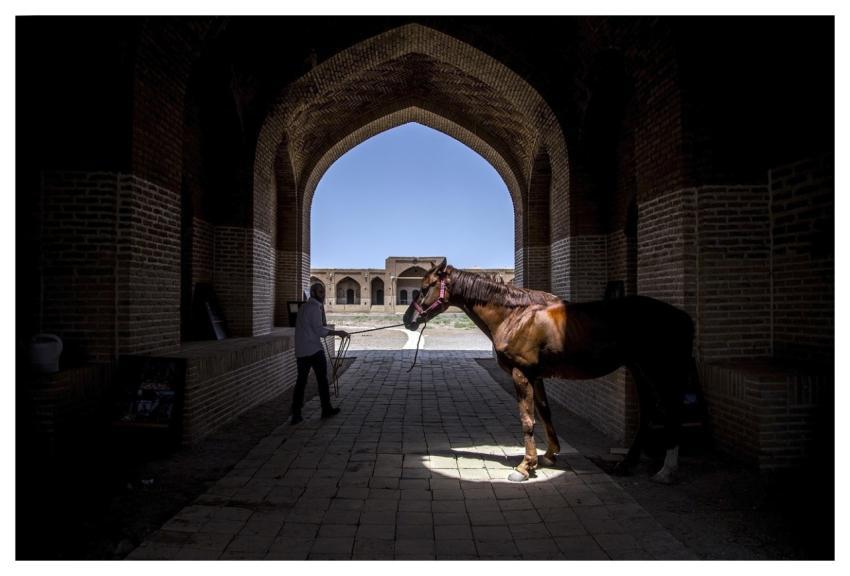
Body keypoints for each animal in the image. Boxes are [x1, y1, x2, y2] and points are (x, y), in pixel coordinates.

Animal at [402, 258, 696, 484]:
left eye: (425, 288)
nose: (408, 320)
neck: (516, 316)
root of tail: (681, 317)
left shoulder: (521, 374)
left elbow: (527, 419)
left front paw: (524, 467)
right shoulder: (536, 376)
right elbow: (544, 412)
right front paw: (549, 455)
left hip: (658, 369)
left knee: (671, 410)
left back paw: (666, 471)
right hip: (639, 368)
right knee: (648, 411)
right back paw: (626, 464)